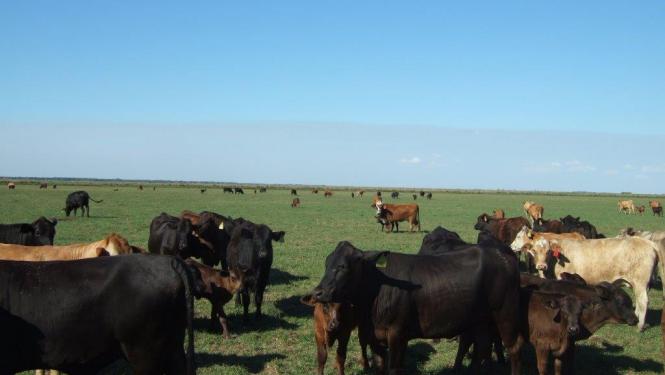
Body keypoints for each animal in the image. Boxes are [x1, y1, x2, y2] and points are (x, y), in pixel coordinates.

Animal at [310, 242, 524, 374]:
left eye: (342, 267)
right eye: (327, 263)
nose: (318, 292)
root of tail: (505, 255)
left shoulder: (396, 333)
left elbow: (394, 368)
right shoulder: (375, 337)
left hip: (505, 312)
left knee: (513, 347)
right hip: (480, 320)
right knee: (484, 348)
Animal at [524, 238, 660, 332]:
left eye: (548, 251)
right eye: (534, 251)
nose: (541, 266)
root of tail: (648, 242)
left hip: (640, 283)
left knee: (643, 302)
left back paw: (640, 326)